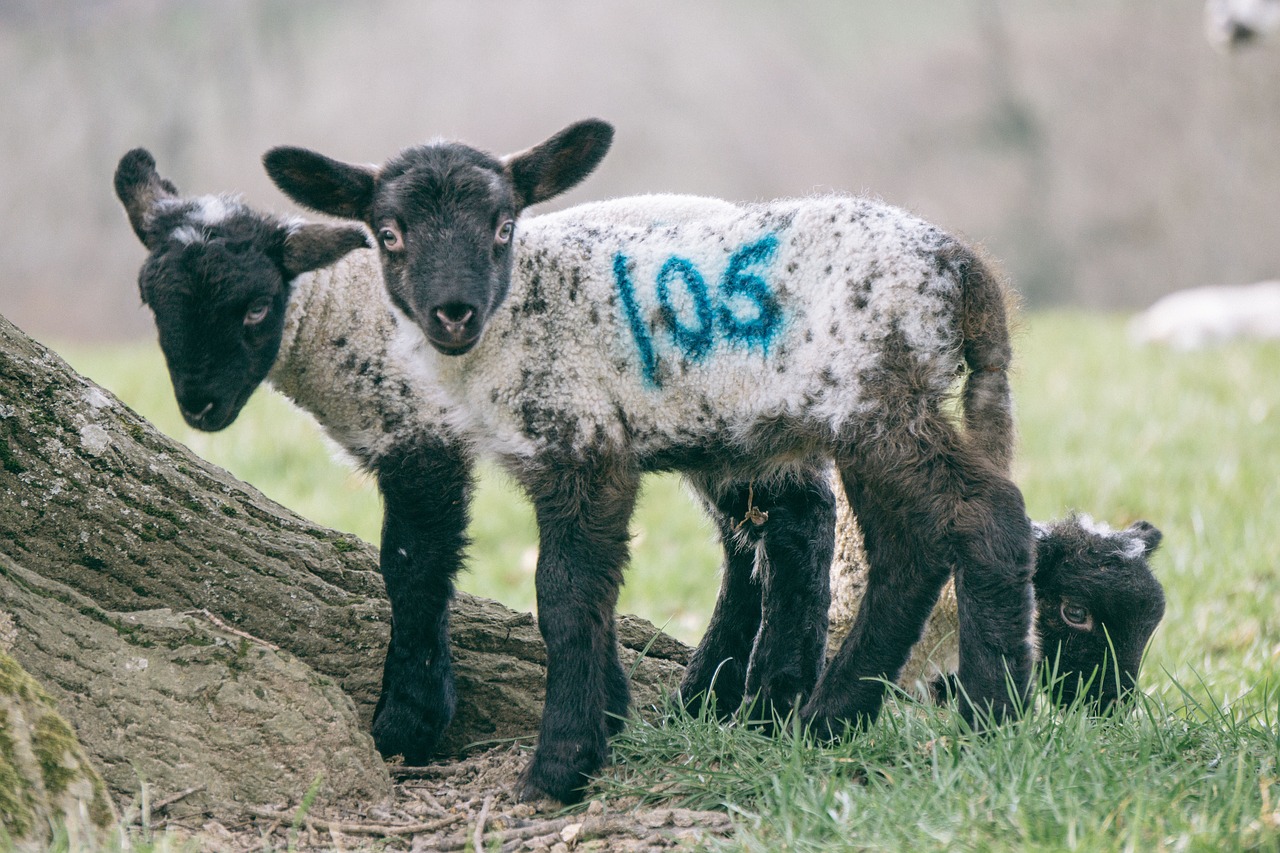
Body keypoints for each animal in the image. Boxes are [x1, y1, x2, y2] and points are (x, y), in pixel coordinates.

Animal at [267, 117, 1039, 799]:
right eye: (389, 234)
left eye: (502, 226)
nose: (453, 313)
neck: (514, 318)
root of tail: (962, 268)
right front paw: (603, 724)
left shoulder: (583, 443)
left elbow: (563, 596)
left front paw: (560, 767)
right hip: (862, 416)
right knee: (909, 550)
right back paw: (828, 718)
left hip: (877, 399)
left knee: (986, 515)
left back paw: (991, 718)